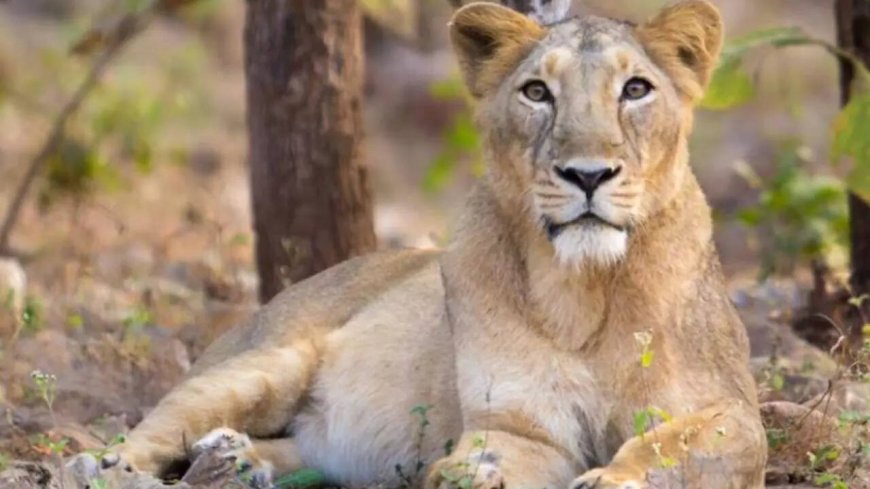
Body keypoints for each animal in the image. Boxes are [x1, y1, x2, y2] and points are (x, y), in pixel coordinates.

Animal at [93, 2, 768, 488]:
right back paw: (125, 467)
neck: (583, 288)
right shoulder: (517, 424)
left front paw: (612, 478)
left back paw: (236, 460)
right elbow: (499, 454)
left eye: (635, 89)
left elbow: (669, 444)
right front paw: (470, 476)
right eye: (537, 93)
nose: (587, 174)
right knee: (149, 430)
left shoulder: (734, 413)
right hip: (266, 362)